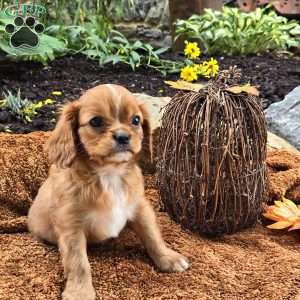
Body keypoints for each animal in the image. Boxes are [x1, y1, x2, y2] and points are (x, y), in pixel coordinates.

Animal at [27, 84, 188, 300]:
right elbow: (78, 262)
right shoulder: (71, 226)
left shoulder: (140, 207)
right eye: (95, 121)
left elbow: (153, 235)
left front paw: (168, 258)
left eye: (136, 120)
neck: (110, 174)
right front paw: (80, 292)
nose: (123, 136)